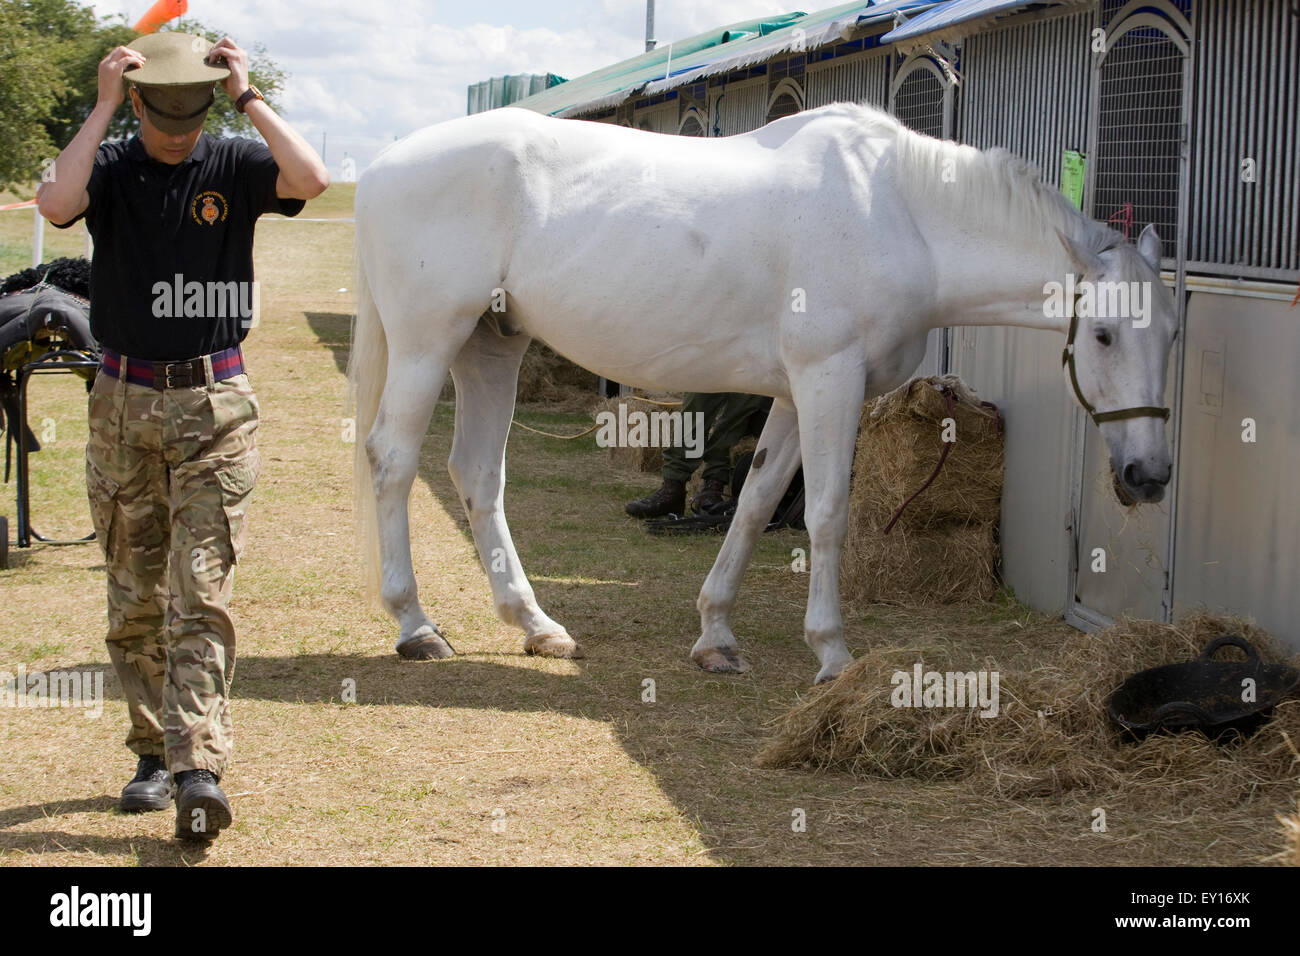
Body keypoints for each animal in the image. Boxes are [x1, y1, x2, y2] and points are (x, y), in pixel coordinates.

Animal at [348, 102, 1180, 686]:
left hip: (493, 345)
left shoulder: (793, 393)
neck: (899, 213)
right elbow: (826, 513)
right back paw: (416, 627)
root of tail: (383, 164)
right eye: (1104, 335)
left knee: (477, 474)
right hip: (429, 343)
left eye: (1172, 333)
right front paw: (833, 654)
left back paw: (536, 625)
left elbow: (754, 501)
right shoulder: (829, 380)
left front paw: (716, 637)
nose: (1148, 475)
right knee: (392, 461)